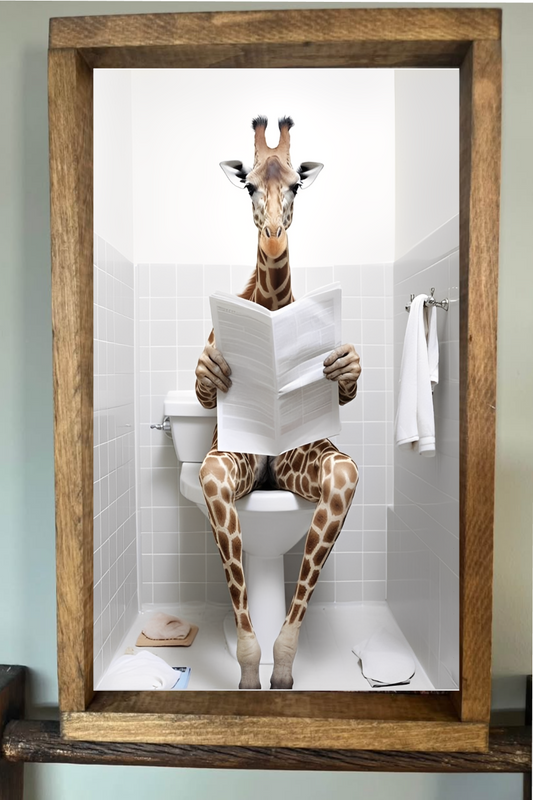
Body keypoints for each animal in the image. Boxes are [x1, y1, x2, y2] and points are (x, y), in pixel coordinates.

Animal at [195, 116, 361, 689]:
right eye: (248, 186)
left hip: (307, 471)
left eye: (295, 186)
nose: (272, 238)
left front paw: (280, 667)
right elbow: (206, 385)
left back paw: (282, 667)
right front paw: (251, 670)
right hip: (227, 471)